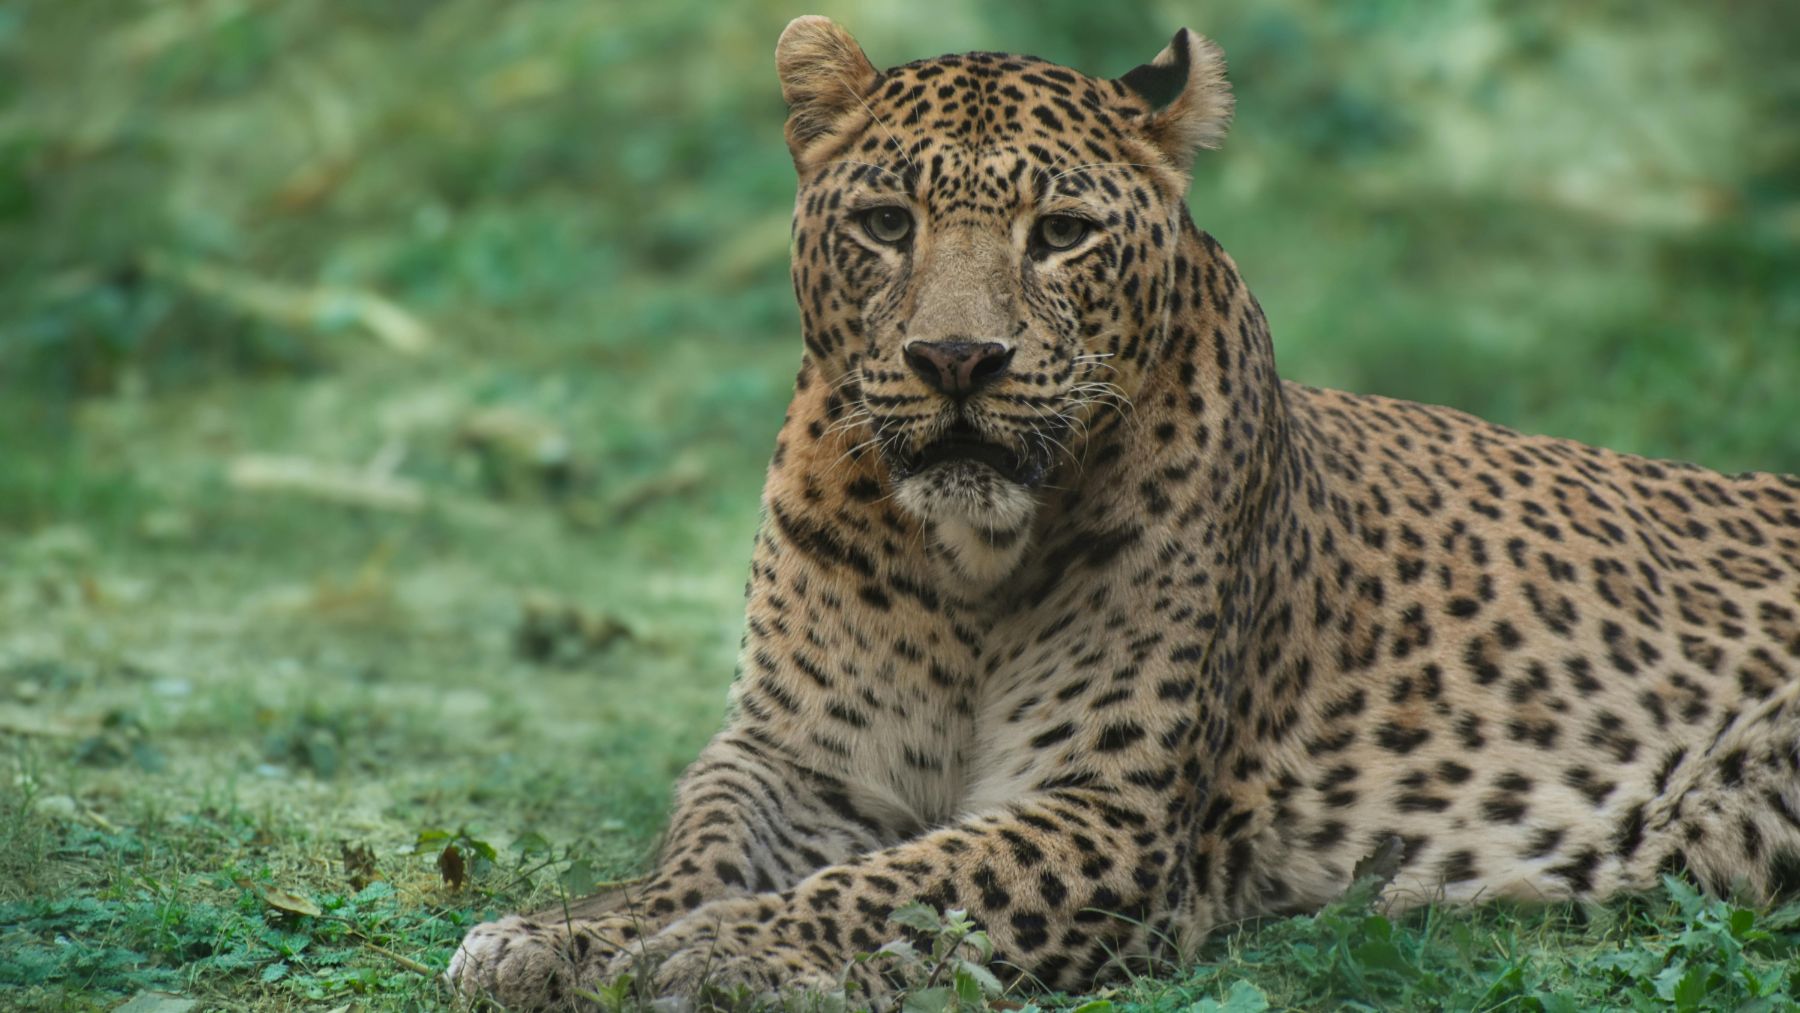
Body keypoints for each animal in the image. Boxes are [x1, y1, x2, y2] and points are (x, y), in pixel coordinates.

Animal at [449, 16, 1800, 1009]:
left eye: (1061, 233)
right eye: (886, 223)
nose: (956, 359)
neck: (968, 562)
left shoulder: (1113, 808)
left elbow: (907, 885)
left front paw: (726, 950)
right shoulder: (798, 754)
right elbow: (700, 844)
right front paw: (564, 933)